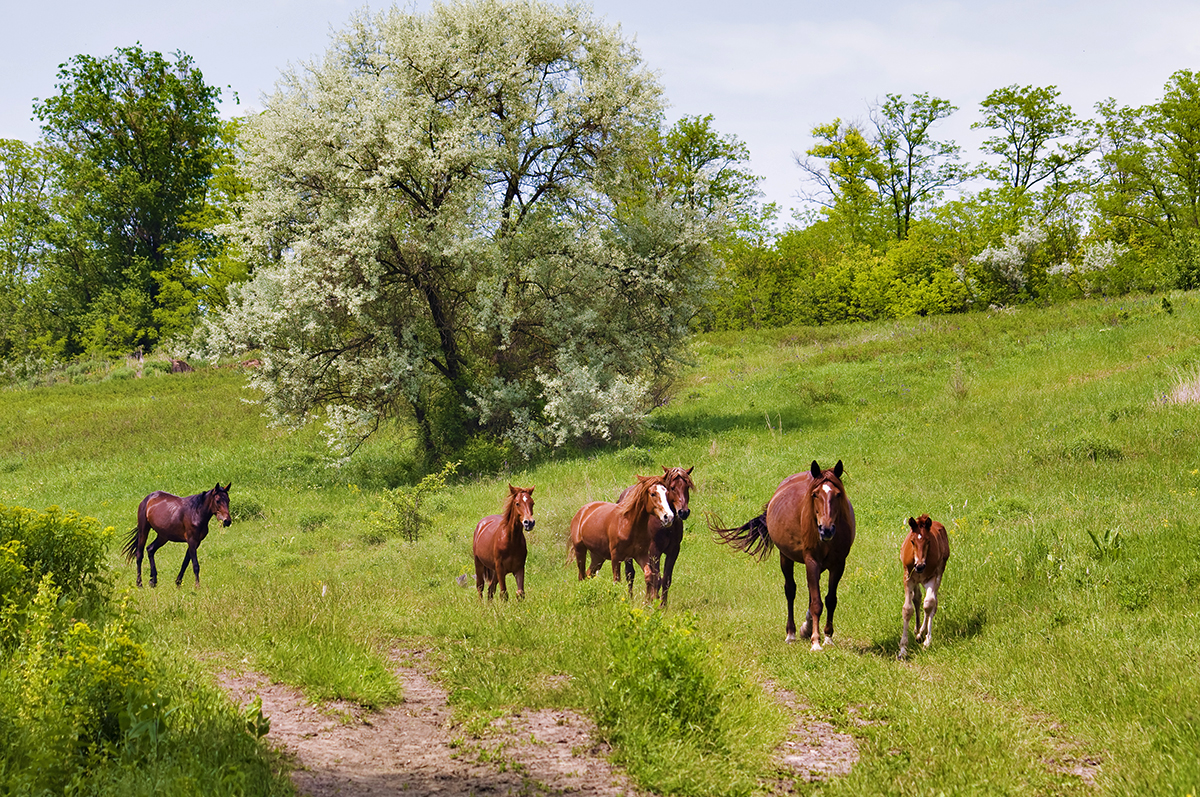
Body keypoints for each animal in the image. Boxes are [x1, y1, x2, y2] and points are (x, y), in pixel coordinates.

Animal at [619, 468, 696, 604]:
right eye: (672, 487)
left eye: (687, 486)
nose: (683, 512)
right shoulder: (654, 551)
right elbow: (656, 579)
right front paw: (654, 601)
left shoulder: (673, 551)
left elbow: (665, 579)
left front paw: (662, 604)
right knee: (630, 573)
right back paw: (631, 598)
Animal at [705, 460, 859, 648]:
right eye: (815, 495)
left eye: (837, 494)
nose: (826, 529)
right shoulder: (812, 560)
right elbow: (816, 603)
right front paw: (816, 642)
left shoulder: (838, 564)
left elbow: (830, 600)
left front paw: (828, 637)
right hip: (786, 557)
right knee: (790, 590)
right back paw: (791, 633)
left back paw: (806, 628)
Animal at [897, 513, 950, 657]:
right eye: (912, 541)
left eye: (928, 541)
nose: (920, 566)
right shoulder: (908, 578)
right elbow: (907, 609)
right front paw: (903, 649)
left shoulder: (933, 578)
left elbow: (929, 604)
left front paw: (924, 638)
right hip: (916, 580)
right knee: (917, 598)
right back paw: (917, 629)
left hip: (937, 575)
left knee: (932, 603)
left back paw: (923, 633)